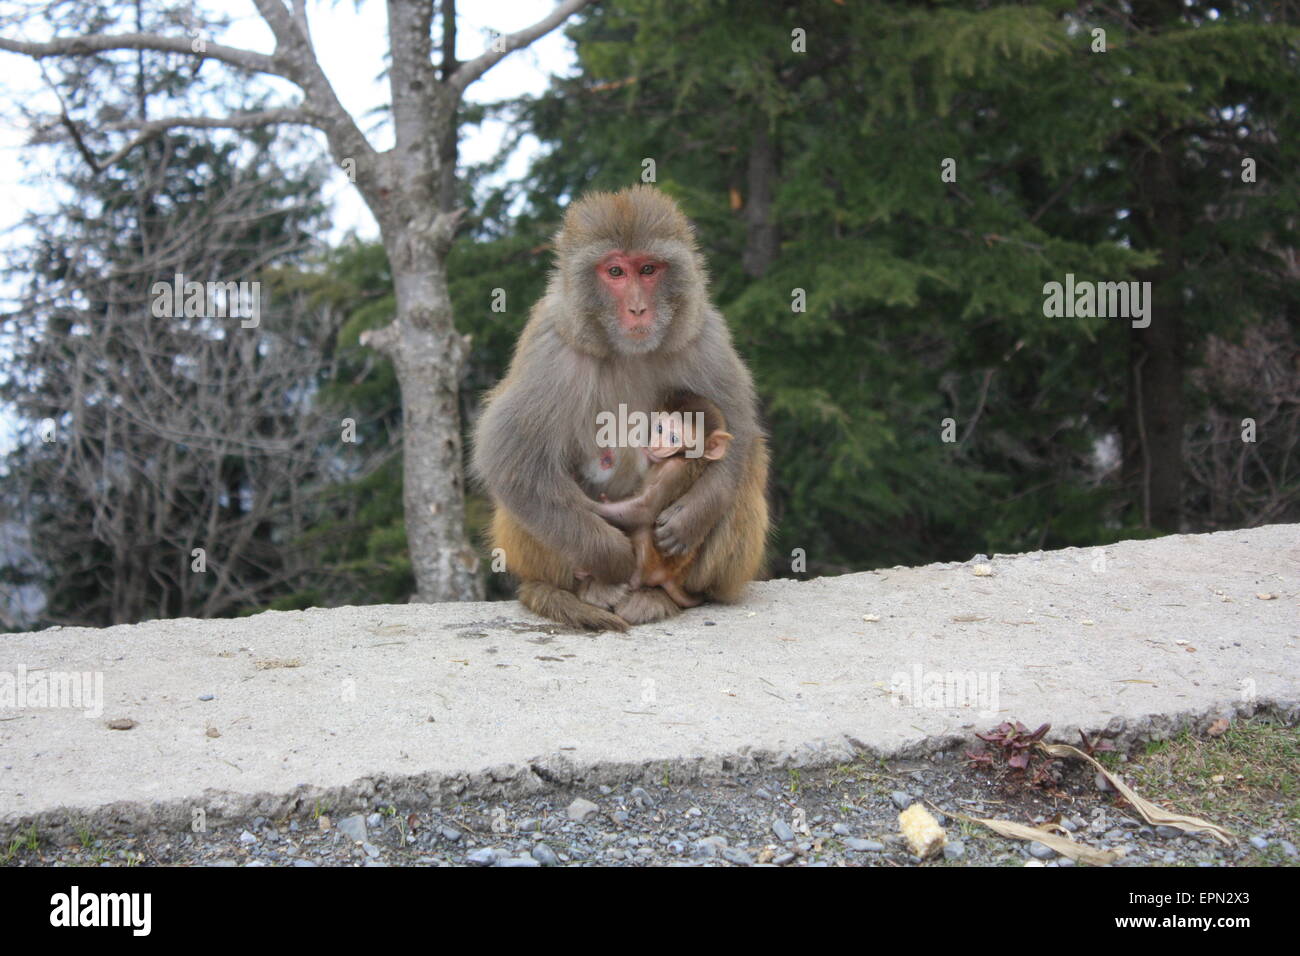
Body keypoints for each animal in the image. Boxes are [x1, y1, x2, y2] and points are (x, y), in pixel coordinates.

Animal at [590, 392, 733, 608]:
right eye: (659, 428)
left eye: (674, 438)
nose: (656, 445)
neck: (685, 458)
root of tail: (668, 576)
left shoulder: (672, 470)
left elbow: (646, 508)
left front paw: (591, 506)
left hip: (654, 560)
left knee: (642, 529)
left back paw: (633, 578)